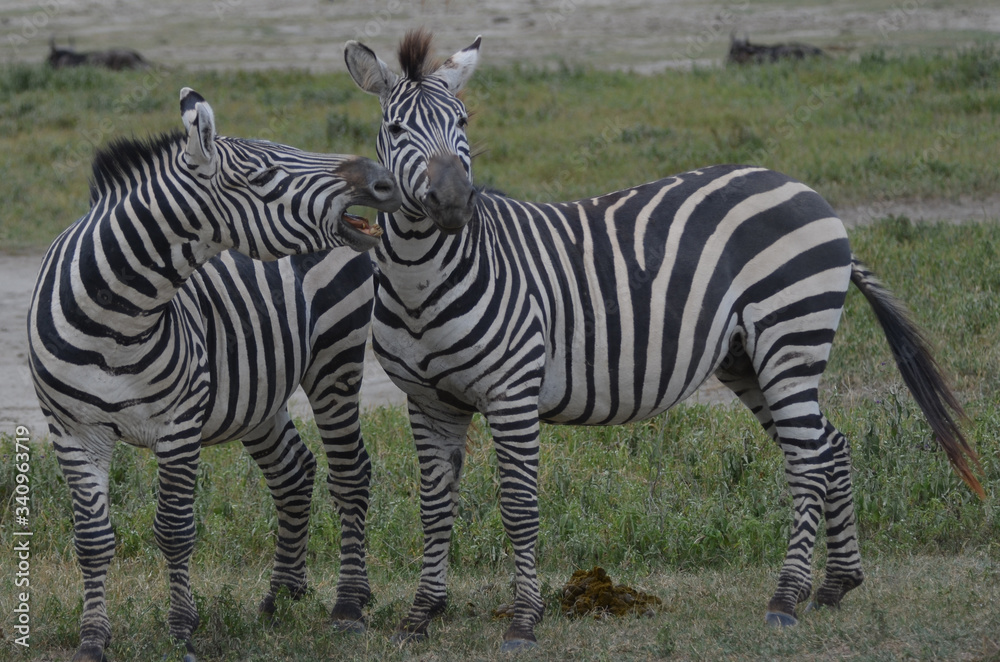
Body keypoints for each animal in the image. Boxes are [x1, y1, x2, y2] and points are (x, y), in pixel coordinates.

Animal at [27, 87, 400, 662]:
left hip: (335, 358)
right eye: (266, 172)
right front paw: (92, 640)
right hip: (258, 392)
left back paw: (348, 605)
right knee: (294, 472)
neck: (114, 319)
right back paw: (281, 597)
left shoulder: (179, 425)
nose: (383, 180)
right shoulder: (71, 431)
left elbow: (175, 529)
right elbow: (91, 539)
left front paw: (182, 631)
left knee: (350, 473)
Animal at [343, 30, 984, 651]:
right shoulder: (428, 401)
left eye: (464, 120)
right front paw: (420, 617)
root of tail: (805, 189)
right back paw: (835, 585)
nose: (455, 204)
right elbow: (433, 508)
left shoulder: (512, 392)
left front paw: (524, 623)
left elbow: (520, 507)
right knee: (831, 445)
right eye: (396, 130)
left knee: (807, 460)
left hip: (789, 337)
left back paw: (786, 598)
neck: (422, 280)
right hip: (748, 358)